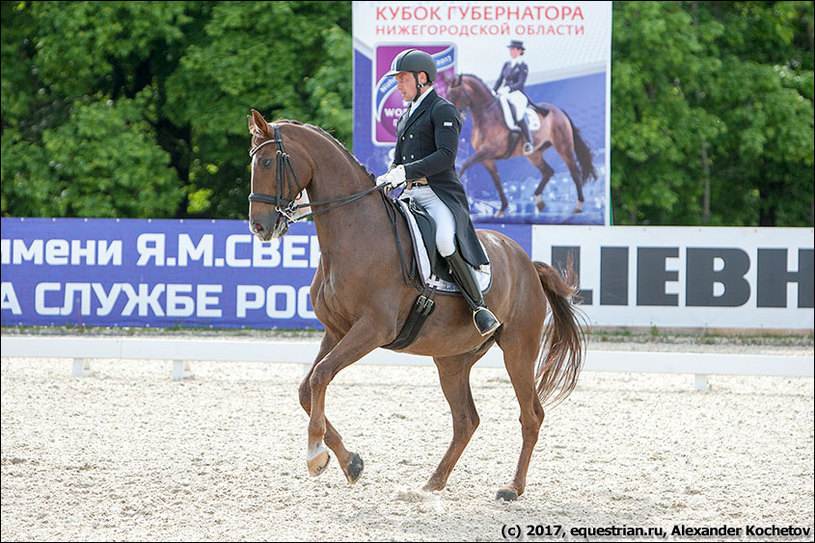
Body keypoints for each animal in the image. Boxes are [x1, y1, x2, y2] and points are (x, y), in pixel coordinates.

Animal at [245, 109, 584, 502]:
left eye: (267, 162)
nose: (259, 227)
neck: (354, 233)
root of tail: (527, 262)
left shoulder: (373, 329)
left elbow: (320, 376)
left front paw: (316, 456)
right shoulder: (337, 330)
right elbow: (308, 386)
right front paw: (350, 462)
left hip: (518, 349)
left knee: (531, 416)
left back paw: (511, 488)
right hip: (452, 358)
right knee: (466, 420)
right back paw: (433, 483)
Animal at [440, 74, 600, 219]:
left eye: (457, 93)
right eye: (447, 94)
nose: (451, 114)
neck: (487, 114)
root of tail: (559, 111)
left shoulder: (488, 151)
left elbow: (465, 165)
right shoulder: (487, 158)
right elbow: (497, 182)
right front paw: (502, 209)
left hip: (563, 146)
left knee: (574, 172)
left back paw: (578, 207)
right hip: (534, 154)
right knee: (548, 171)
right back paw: (539, 201)